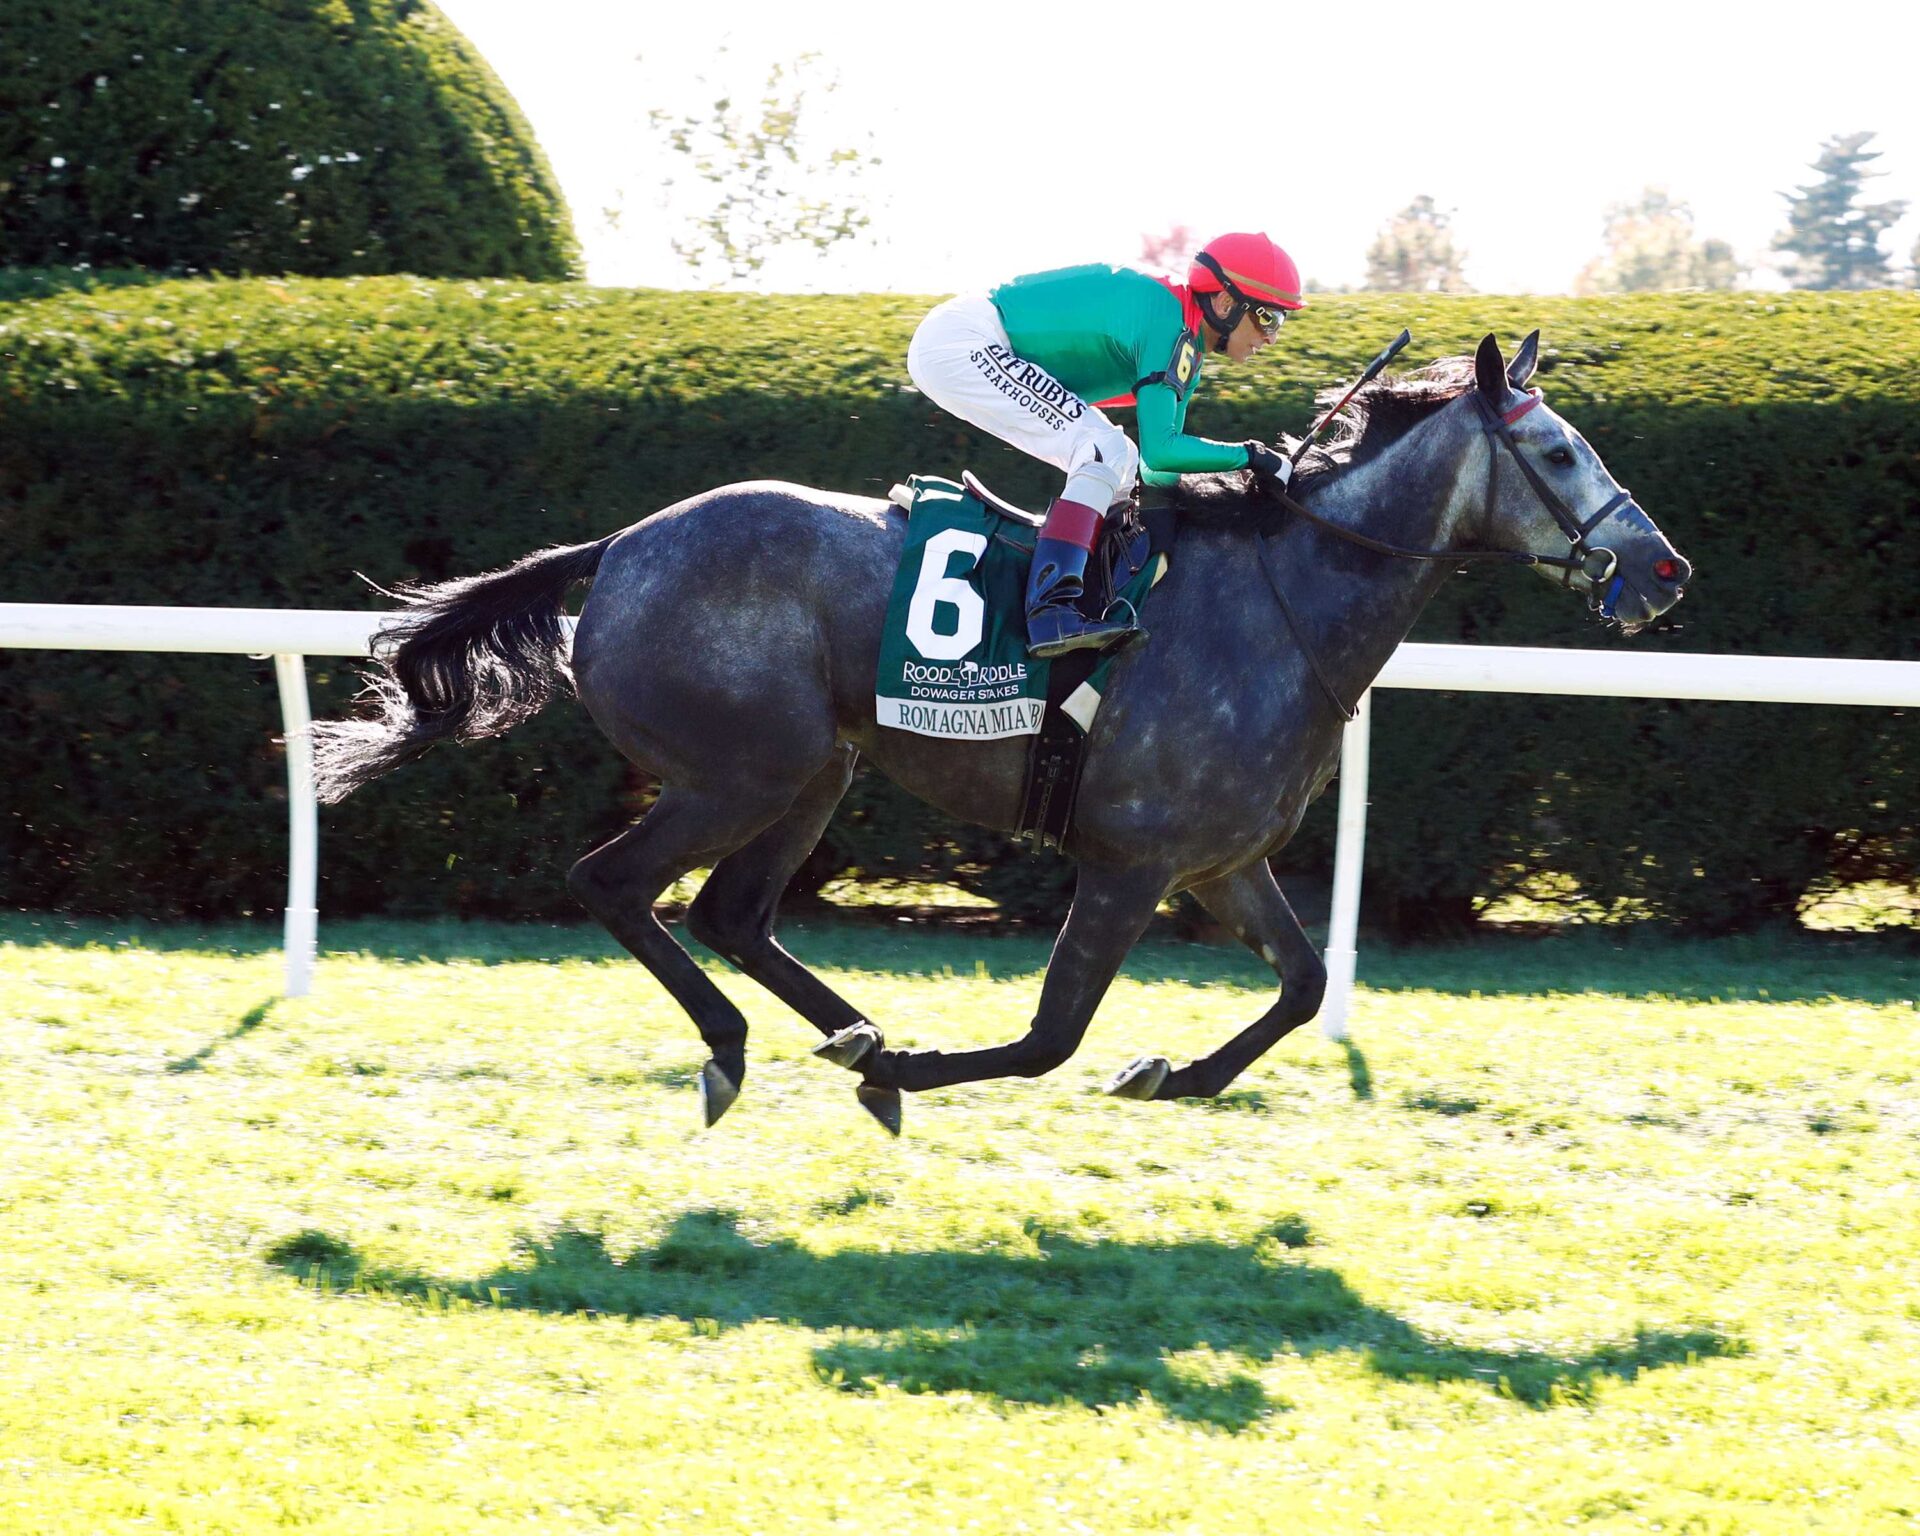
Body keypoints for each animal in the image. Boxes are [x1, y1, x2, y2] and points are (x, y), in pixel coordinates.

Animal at [312, 333, 1691, 1135]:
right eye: (1560, 452)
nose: (1664, 570)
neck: (1283, 594)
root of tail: (619, 547)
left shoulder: (1221, 860)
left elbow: (1302, 988)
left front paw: (1174, 1075)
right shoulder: (1130, 861)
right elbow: (1047, 1038)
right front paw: (918, 1071)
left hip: (817, 766)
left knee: (730, 913)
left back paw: (846, 1029)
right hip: (741, 769)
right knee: (616, 884)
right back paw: (747, 1050)